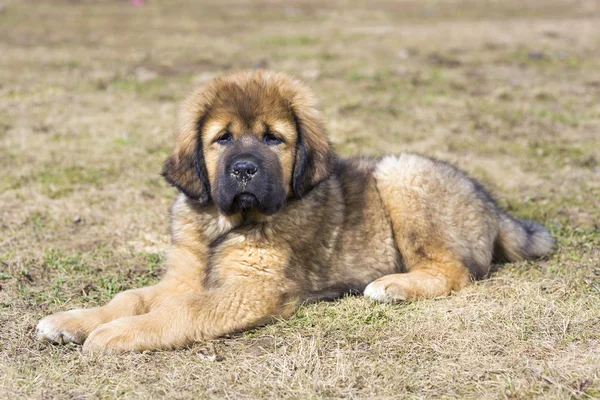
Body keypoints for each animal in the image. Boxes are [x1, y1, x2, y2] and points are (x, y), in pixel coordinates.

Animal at [36, 70, 552, 352]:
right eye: (222, 138)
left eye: (272, 139)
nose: (244, 169)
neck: (221, 225)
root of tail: (491, 204)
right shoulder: (183, 275)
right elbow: (133, 297)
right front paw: (74, 320)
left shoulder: (254, 290)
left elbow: (182, 310)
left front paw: (117, 333)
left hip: (400, 173)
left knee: (455, 269)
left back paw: (391, 286)